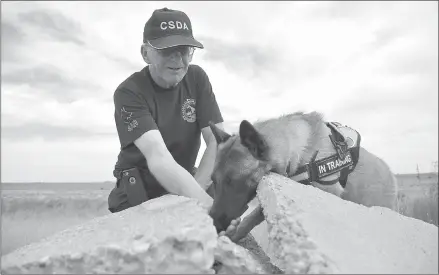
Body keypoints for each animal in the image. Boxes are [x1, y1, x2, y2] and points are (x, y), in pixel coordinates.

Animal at [208, 112, 400, 235]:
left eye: (232, 181)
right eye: (214, 181)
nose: (213, 222)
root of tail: (392, 175)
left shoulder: (326, 191)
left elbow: (256, 215)